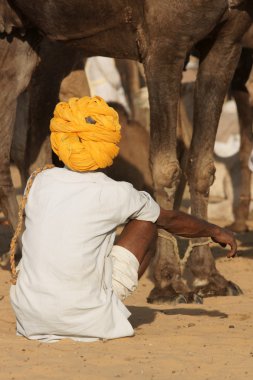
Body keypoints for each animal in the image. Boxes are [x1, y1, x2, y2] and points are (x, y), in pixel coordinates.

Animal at [0, 0, 253, 302]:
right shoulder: (165, 45)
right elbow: (166, 167)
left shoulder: (227, 44)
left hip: (37, 41)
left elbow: (202, 166)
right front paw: (169, 282)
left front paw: (209, 277)